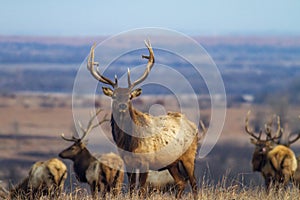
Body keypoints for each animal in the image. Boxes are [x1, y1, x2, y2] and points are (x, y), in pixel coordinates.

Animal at [87, 39, 202, 199]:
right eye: (114, 96)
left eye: (129, 96)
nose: (122, 105)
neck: (129, 143)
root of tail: (193, 127)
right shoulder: (128, 162)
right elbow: (131, 189)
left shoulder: (146, 162)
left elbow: (141, 190)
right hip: (172, 163)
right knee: (181, 182)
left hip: (189, 156)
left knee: (194, 183)